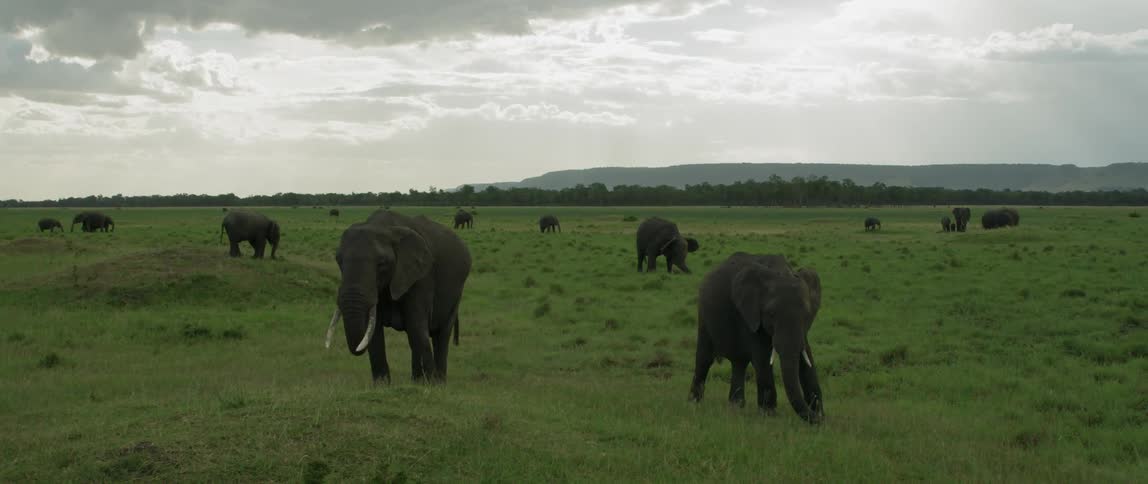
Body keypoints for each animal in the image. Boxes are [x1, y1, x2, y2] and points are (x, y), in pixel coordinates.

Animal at [324, 210, 472, 383]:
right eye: (338, 260)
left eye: (381, 264)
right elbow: (374, 333)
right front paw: (382, 385)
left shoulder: (421, 276)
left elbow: (416, 326)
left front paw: (427, 385)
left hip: (457, 290)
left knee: (440, 335)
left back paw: (438, 382)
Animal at [688, 253, 823, 423]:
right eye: (771, 314)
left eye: (807, 315)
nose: (818, 417)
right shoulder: (750, 315)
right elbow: (762, 358)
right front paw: (769, 415)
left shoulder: (802, 330)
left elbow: (807, 359)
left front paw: (820, 414)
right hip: (704, 317)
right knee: (704, 359)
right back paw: (694, 403)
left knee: (739, 363)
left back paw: (736, 406)